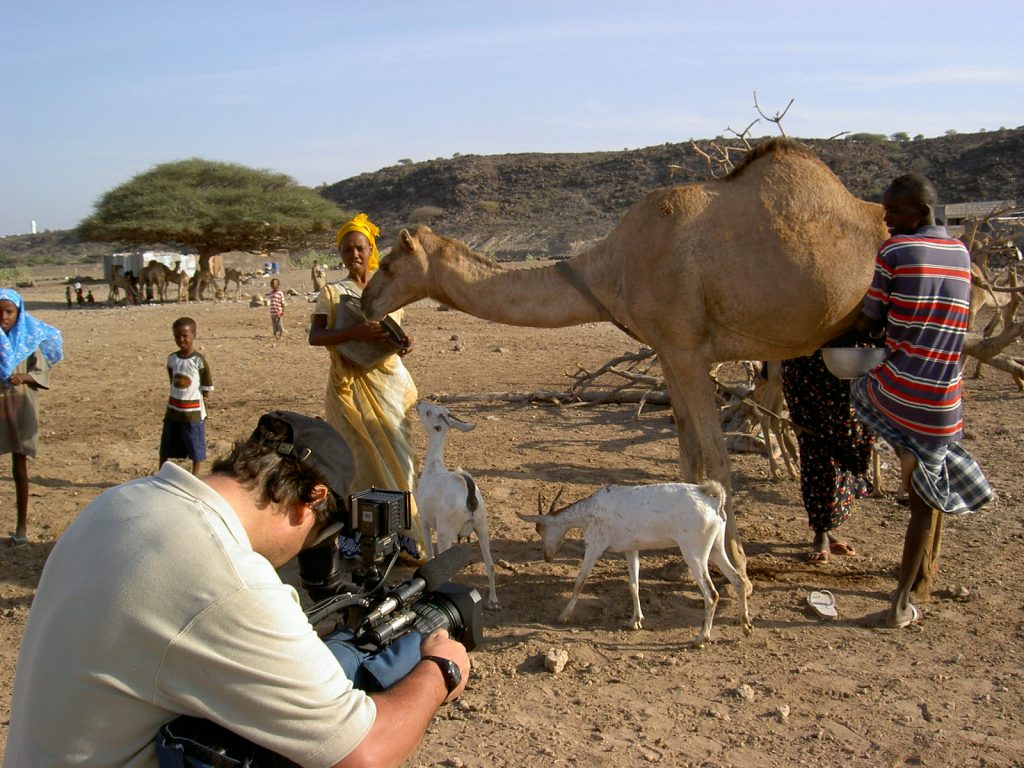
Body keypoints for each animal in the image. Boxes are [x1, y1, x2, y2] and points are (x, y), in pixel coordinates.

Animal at [362, 138, 888, 573]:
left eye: (387, 264)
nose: (365, 302)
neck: (614, 268)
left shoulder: (689, 348)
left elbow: (717, 460)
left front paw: (735, 561)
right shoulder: (669, 350)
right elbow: (689, 455)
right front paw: (680, 561)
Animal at [413, 405, 497, 610]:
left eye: (429, 413)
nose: (418, 404)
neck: (434, 467)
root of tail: (470, 494)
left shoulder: (424, 520)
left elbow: (429, 553)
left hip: (446, 535)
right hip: (482, 527)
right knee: (490, 564)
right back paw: (493, 601)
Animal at [520, 483, 753, 647]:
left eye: (540, 529)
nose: (547, 556)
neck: (590, 510)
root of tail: (713, 502)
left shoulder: (595, 545)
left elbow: (580, 581)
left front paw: (563, 616)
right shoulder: (631, 549)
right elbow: (634, 585)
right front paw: (635, 621)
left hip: (694, 553)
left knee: (711, 594)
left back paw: (700, 639)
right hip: (716, 548)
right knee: (738, 580)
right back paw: (746, 627)